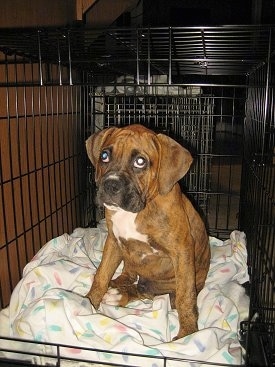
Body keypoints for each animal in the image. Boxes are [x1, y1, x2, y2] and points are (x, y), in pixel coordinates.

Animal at [86, 125, 211, 340]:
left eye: (140, 161)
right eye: (104, 156)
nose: (110, 184)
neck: (138, 210)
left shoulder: (181, 252)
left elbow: (185, 296)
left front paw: (187, 335)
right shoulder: (113, 241)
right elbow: (101, 275)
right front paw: (87, 303)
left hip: (168, 282)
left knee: (150, 291)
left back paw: (122, 293)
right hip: (126, 256)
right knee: (130, 276)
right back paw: (118, 287)